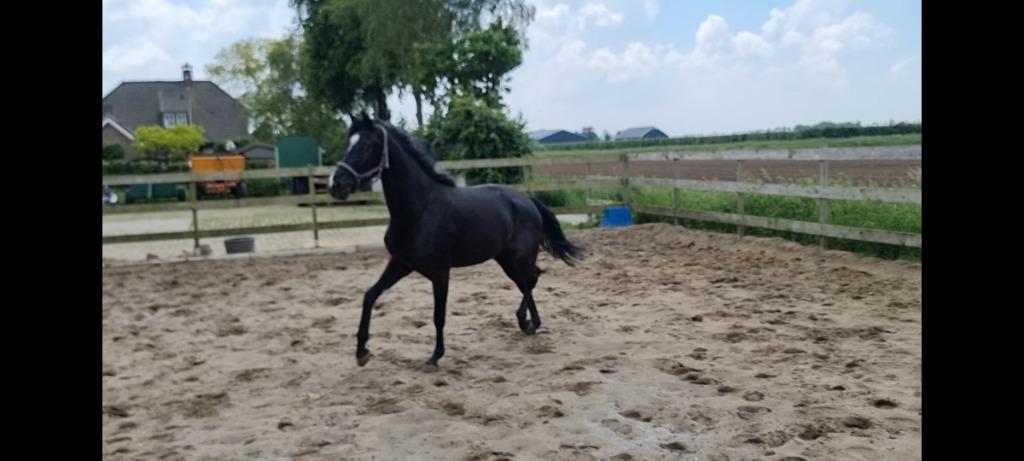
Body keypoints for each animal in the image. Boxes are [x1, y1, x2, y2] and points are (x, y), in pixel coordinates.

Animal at [328, 114, 585, 367]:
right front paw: (362, 352)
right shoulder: (401, 263)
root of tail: (528, 200)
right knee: (528, 280)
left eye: (367, 145)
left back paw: (526, 321)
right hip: (505, 260)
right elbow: (370, 295)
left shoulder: (440, 272)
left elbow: (438, 315)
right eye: (348, 143)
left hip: (520, 257)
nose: (336, 185)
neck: (420, 210)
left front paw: (435, 356)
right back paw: (530, 324)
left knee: (531, 279)